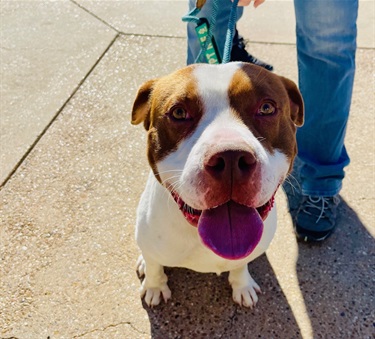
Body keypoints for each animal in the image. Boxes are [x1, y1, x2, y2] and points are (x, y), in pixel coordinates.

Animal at [131, 62, 304, 310]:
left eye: (267, 108)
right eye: (179, 113)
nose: (231, 157)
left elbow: (240, 265)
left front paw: (242, 285)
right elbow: (155, 267)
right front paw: (154, 287)